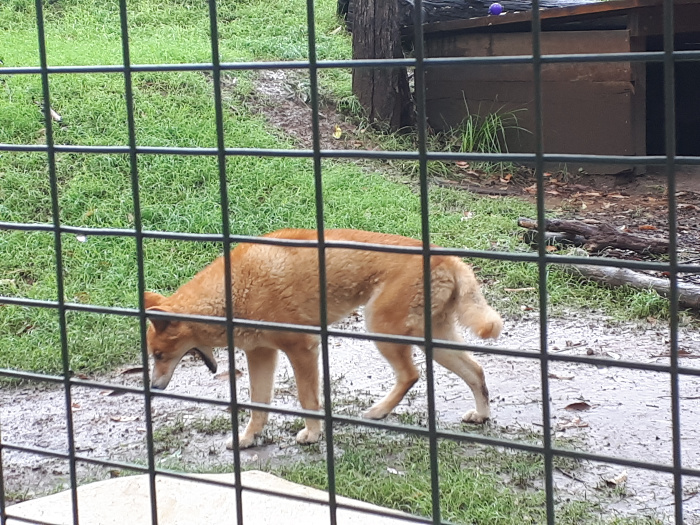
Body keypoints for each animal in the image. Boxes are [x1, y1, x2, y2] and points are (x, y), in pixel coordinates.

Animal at [144, 227, 504, 448]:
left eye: (159, 356)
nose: (154, 387)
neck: (235, 290)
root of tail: (448, 257)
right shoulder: (261, 354)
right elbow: (258, 405)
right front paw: (248, 438)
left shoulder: (301, 348)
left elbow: (308, 401)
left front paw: (313, 434)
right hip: (436, 342)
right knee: (476, 371)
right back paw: (481, 415)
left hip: (381, 329)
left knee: (411, 375)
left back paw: (378, 411)